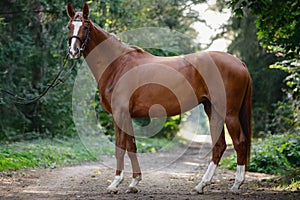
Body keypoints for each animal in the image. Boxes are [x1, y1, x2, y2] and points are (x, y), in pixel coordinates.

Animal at [67, 2, 252, 194]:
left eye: (85, 26)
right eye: (69, 26)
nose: (73, 51)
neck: (117, 65)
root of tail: (239, 62)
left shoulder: (119, 114)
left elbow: (120, 147)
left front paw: (115, 183)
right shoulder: (127, 116)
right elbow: (131, 146)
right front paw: (134, 183)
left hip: (229, 113)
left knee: (240, 142)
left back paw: (236, 184)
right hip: (213, 110)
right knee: (219, 145)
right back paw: (201, 185)